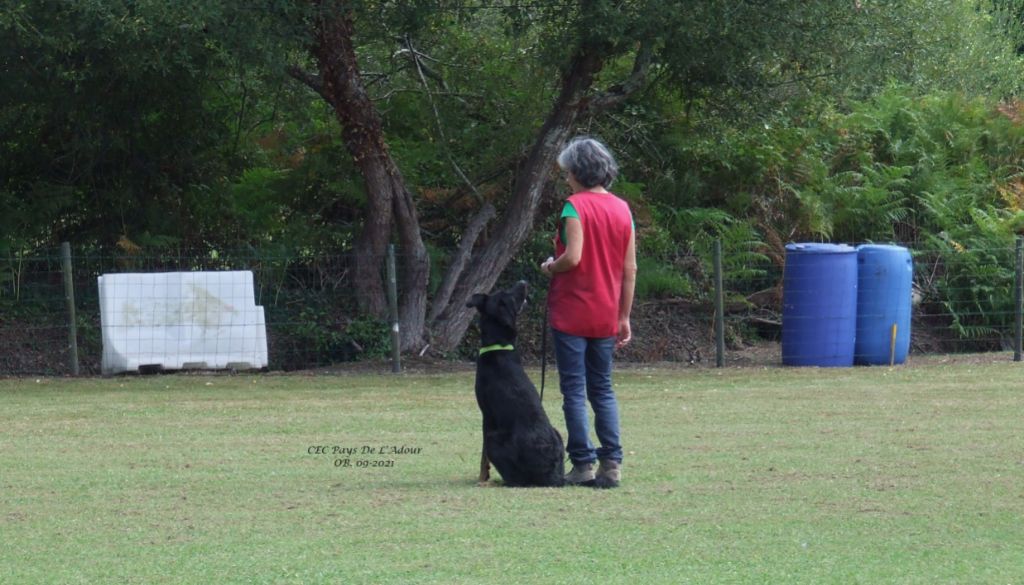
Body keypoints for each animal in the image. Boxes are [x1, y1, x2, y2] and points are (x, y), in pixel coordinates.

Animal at [466, 280, 565, 487]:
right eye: (507, 293)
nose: (523, 282)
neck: (498, 345)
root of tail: (553, 476)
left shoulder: (487, 416)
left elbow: (483, 457)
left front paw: (482, 478)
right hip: (558, 433)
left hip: (494, 438)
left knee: (515, 480)